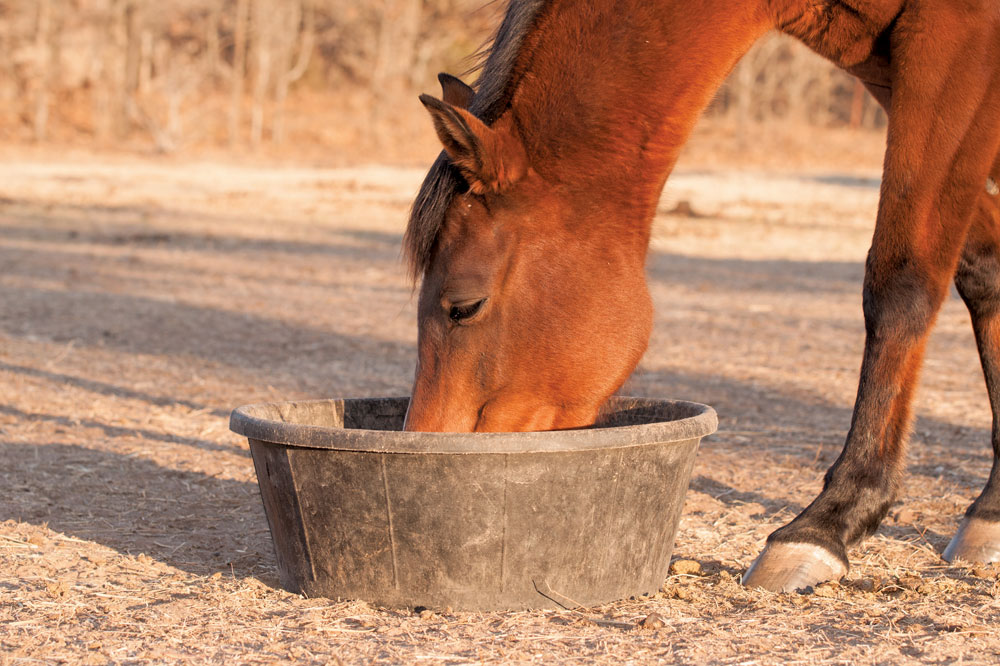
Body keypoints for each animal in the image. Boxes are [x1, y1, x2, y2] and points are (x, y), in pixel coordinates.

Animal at [398, 0, 1000, 592]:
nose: (429, 445)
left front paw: (828, 521)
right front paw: (990, 512)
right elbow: (985, 271)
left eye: (463, 306)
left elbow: (902, 283)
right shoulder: (900, 70)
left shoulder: (955, 44)